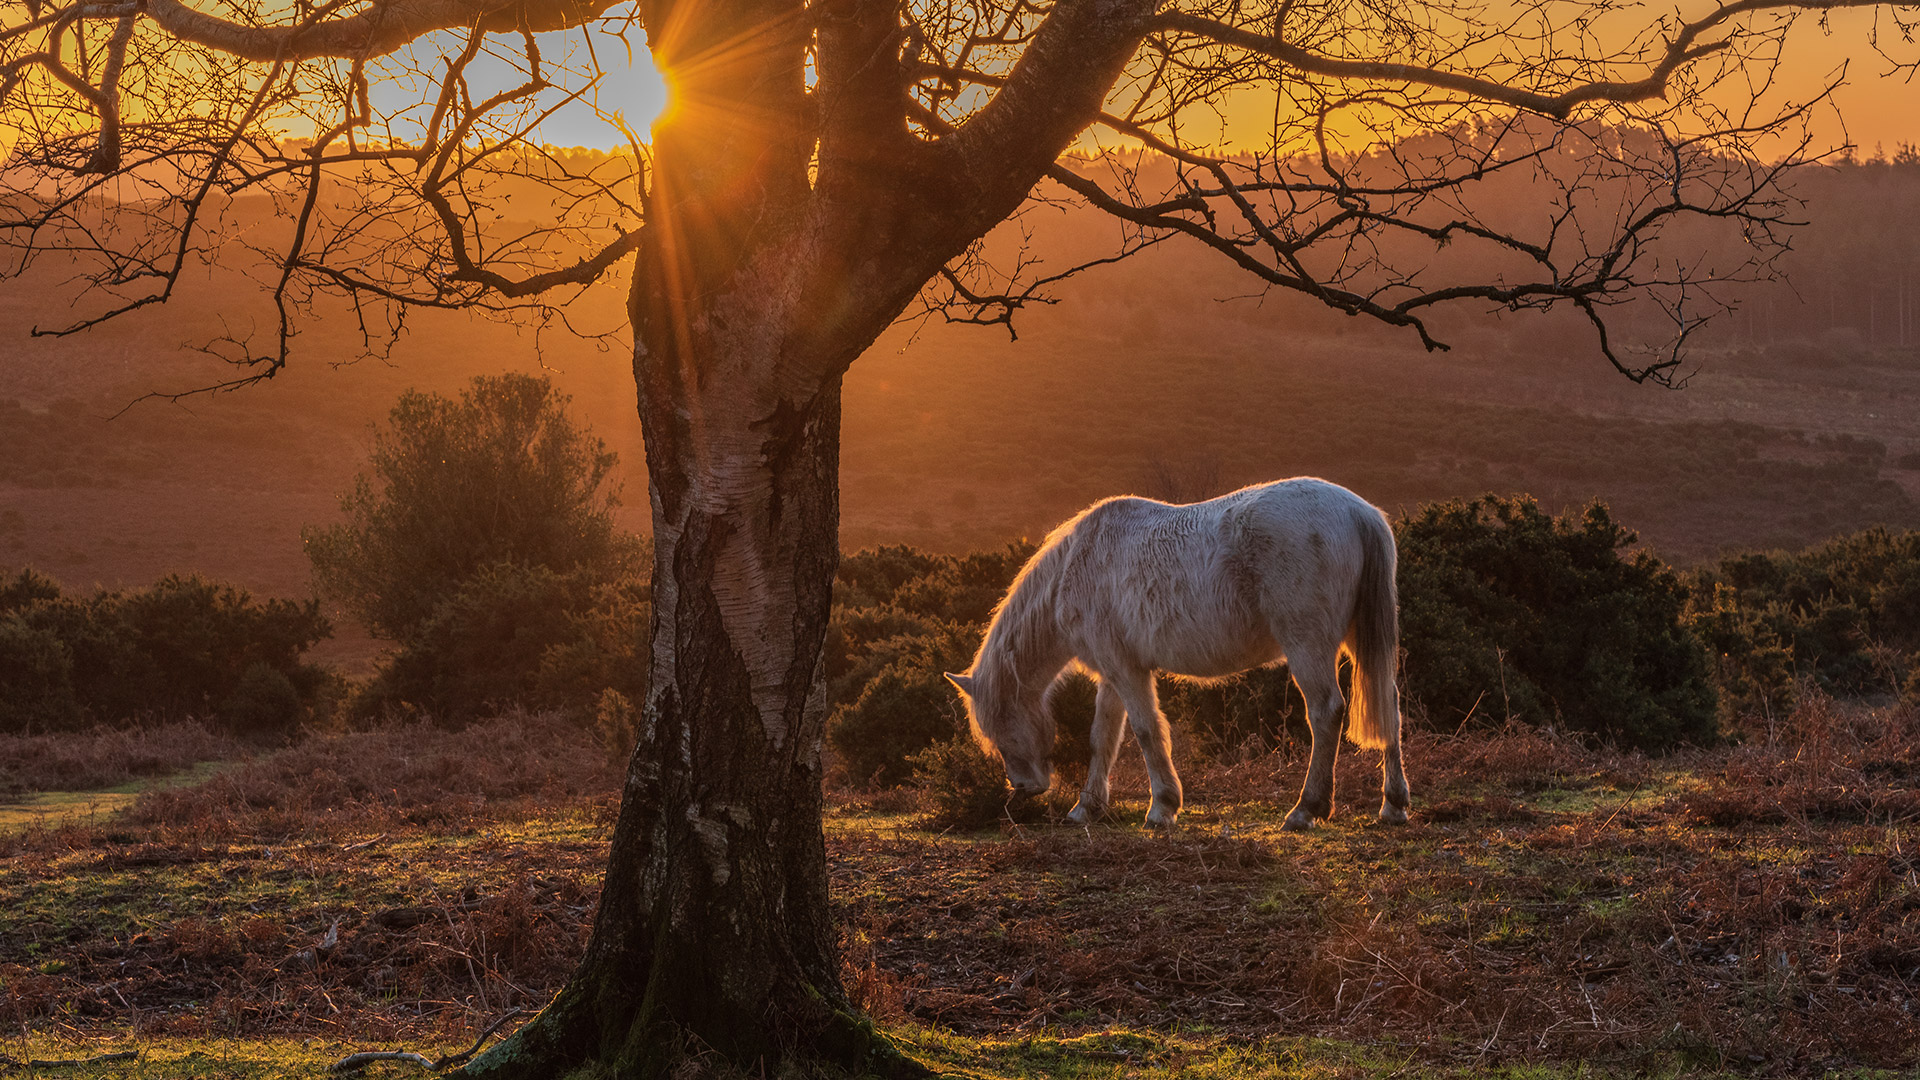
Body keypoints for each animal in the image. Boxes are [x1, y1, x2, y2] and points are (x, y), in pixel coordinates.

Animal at [943, 477, 1410, 831]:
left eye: (1000, 723)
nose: (1023, 787)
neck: (1077, 568)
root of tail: (1358, 512)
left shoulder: (1128, 672)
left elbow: (1147, 731)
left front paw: (1162, 808)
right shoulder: (1113, 672)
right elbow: (1103, 738)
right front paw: (1087, 808)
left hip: (1307, 645)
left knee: (1326, 712)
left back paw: (1306, 809)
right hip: (1360, 641)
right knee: (1389, 705)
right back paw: (1393, 804)